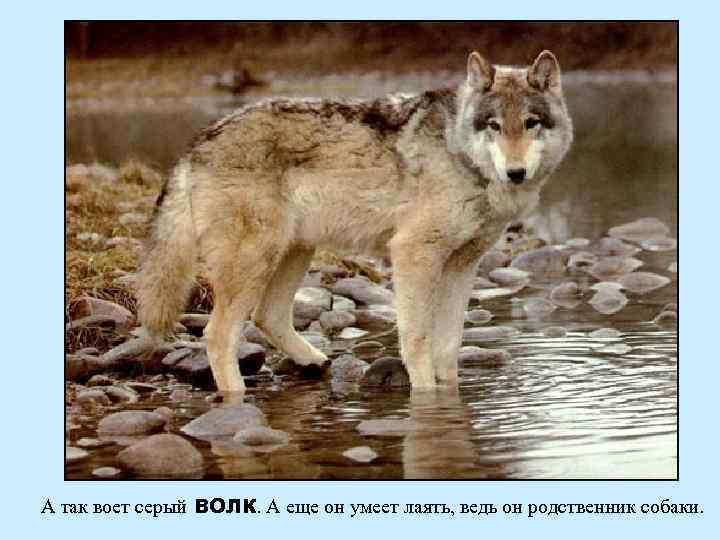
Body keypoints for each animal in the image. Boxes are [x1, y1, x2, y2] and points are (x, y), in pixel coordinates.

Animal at [136, 50, 573, 393]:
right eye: (494, 125)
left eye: (531, 123)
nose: (515, 173)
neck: (459, 153)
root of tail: (199, 142)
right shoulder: (413, 254)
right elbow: (417, 340)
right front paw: (425, 396)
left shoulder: (463, 265)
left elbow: (449, 345)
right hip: (255, 262)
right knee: (218, 335)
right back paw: (236, 400)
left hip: (295, 251)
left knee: (267, 317)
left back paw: (313, 362)